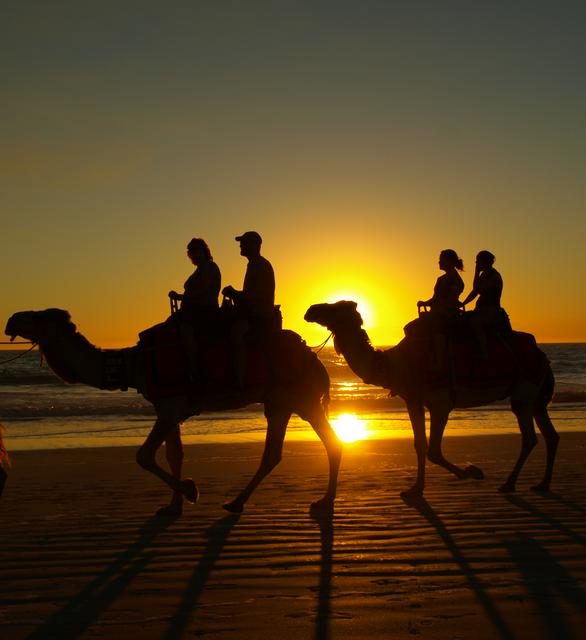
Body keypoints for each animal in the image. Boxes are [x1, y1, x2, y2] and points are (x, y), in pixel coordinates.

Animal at [5, 308, 342, 516]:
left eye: (36, 316)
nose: (10, 319)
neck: (134, 365)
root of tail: (316, 361)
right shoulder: (168, 408)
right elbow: (173, 454)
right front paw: (173, 506)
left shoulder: (171, 408)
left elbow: (143, 455)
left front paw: (191, 491)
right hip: (289, 402)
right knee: (298, 448)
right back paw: (247, 502)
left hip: (295, 398)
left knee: (311, 446)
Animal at [302, 302, 556, 500]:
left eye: (335, 307)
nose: (310, 310)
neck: (397, 365)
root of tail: (542, 355)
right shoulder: (413, 401)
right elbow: (420, 445)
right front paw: (415, 489)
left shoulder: (440, 405)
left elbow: (433, 450)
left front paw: (472, 471)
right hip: (534, 398)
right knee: (549, 434)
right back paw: (541, 483)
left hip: (524, 392)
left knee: (529, 437)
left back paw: (509, 483)